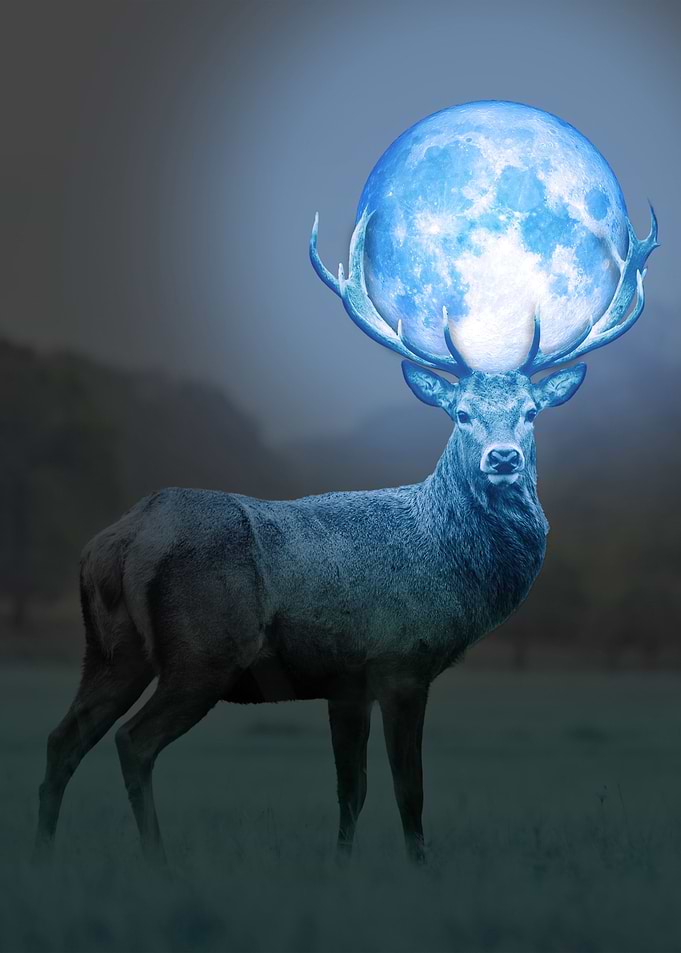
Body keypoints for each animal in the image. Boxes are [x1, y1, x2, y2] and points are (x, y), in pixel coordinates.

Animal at [34, 205, 657, 867]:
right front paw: (420, 868)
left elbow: (350, 789)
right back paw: (155, 857)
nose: (503, 457)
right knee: (133, 741)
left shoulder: (346, 682)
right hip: (202, 651)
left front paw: (341, 865)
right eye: (461, 413)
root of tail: (116, 542)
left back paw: (43, 850)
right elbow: (409, 788)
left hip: (110, 650)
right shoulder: (401, 660)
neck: (453, 567)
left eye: (532, 412)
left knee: (63, 738)